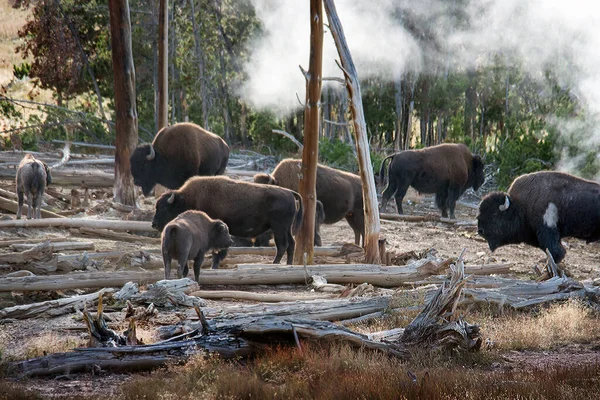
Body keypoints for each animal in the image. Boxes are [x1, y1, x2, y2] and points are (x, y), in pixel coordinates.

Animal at [152, 176, 302, 266]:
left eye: (164, 207)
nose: (154, 224)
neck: (187, 199)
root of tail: (290, 192)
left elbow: (217, 251)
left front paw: (214, 266)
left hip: (279, 228)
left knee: (282, 245)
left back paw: (275, 264)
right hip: (286, 228)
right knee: (291, 244)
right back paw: (288, 265)